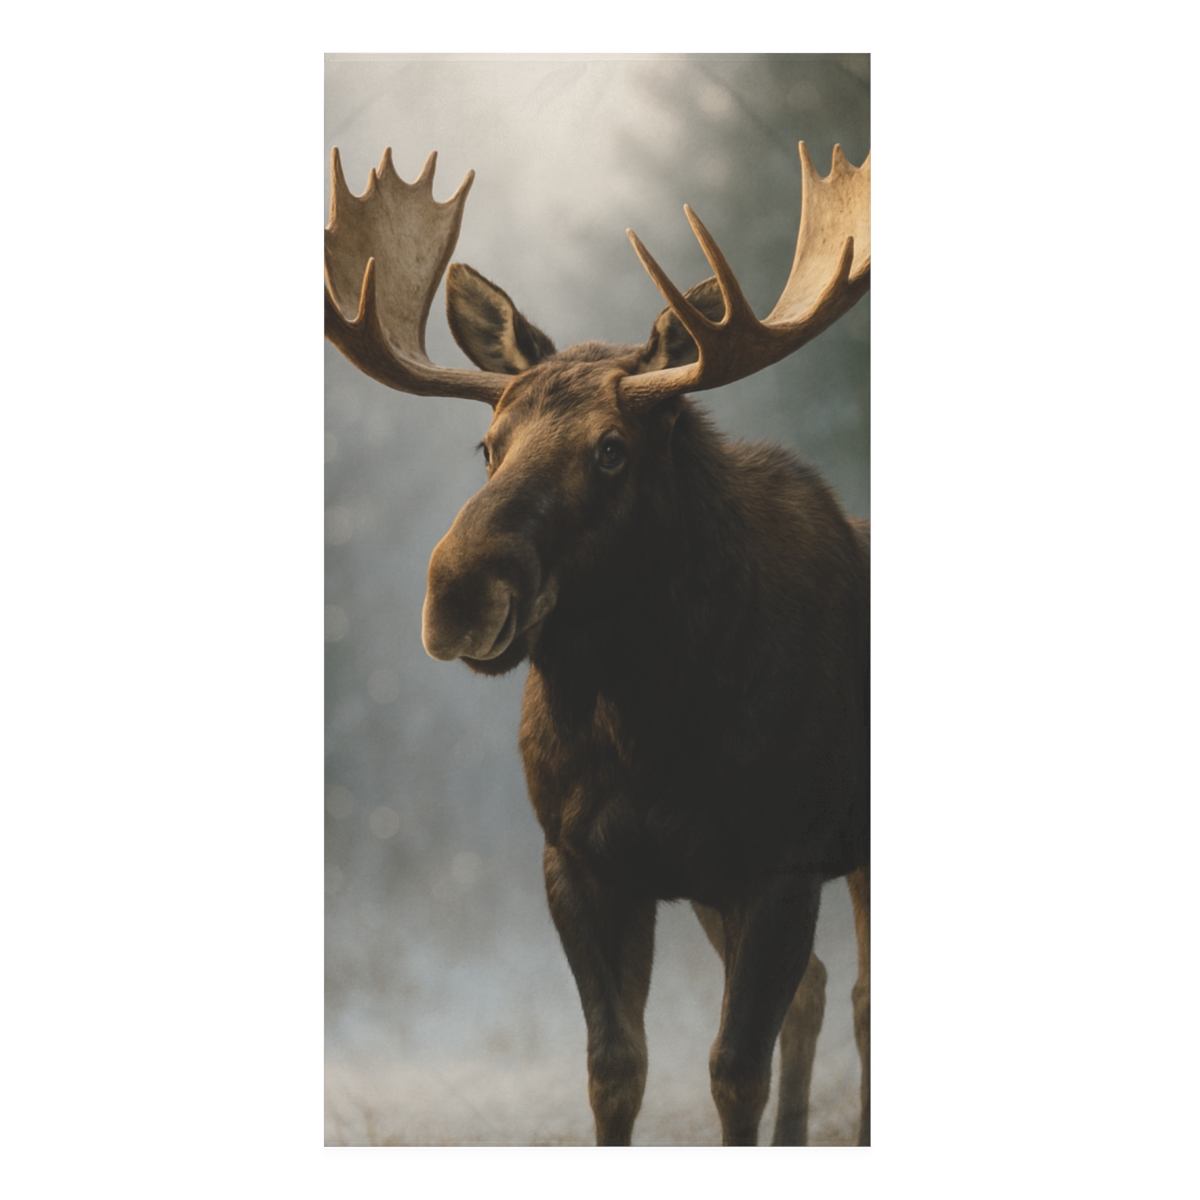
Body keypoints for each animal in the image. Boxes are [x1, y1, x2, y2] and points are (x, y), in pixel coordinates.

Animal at [324, 140, 871, 1146]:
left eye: (613, 448)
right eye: (487, 444)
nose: (459, 591)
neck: (646, 723)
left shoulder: (782, 859)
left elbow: (733, 1071)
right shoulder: (584, 860)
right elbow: (616, 1070)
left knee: (859, 996)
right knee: (819, 990)